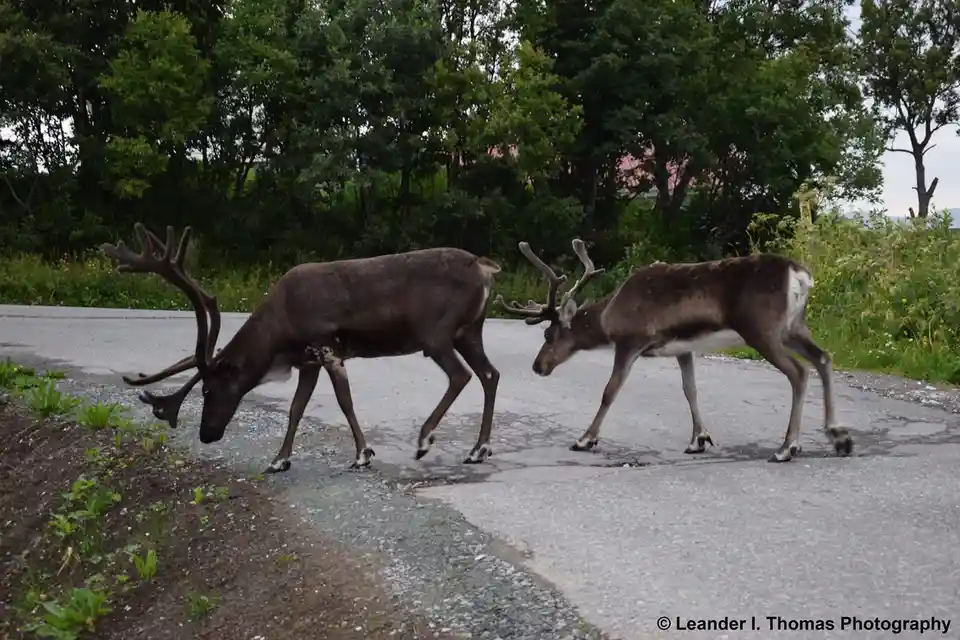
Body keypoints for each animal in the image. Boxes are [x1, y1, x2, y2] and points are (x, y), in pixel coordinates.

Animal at [100, 222, 503, 473]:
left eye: (209, 389)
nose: (206, 435)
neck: (280, 336)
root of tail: (486, 268)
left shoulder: (326, 345)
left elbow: (344, 400)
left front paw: (362, 454)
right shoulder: (306, 361)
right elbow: (296, 408)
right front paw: (279, 460)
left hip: (436, 333)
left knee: (462, 375)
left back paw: (425, 440)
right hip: (469, 330)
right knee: (490, 373)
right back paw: (478, 449)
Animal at [494, 238, 854, 463]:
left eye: (549, 333)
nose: (538, 366)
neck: (610, 316)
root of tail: (801, 276)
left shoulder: (631, 341)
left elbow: (610, 391)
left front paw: (585, 439)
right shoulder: (684, 349)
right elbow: (689, 389)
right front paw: (699, 439)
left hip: (762, 329)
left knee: (799, 371)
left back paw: (788, 447)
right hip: (794, 326)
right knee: (824, 358)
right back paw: (839, 437)